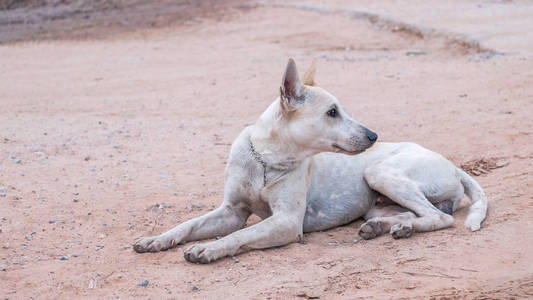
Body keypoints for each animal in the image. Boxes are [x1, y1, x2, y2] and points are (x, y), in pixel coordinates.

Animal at [133, 58, 486, 262]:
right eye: (332, 112)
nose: (373, 136)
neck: (266, 160)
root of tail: (454, 166)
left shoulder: (286, 222)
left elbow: (240, 235)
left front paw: (209, 248)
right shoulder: (231, 211)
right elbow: (188, 225)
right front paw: (156, 240)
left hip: (380, 172)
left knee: (440, 218)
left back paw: (401, 228)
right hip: (377, 199)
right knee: (415, 214)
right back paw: (387, 227)